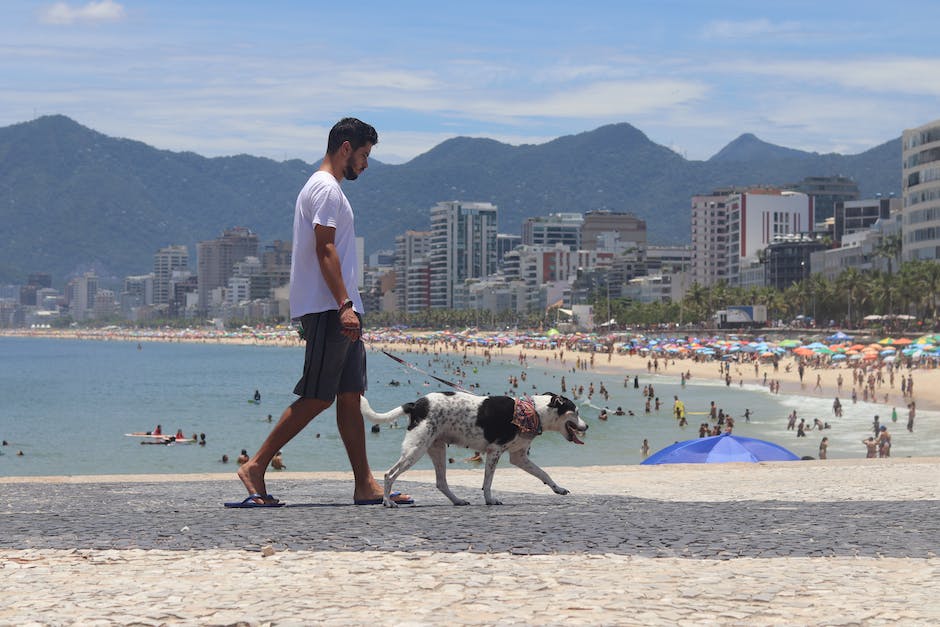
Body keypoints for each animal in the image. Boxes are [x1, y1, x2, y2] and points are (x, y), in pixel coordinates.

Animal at [360, 392, 588, 506]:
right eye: (576, 412)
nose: (586, 426)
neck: (534, 411)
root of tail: (416, 405)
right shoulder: (495, 451)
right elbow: (487, 483)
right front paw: (489, 500)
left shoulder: (518, 457)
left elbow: (544, 473)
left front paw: (558, 489)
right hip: (415, 449)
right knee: (389, 474)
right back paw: (387, 501)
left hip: (436, 448)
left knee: (441, 482)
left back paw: (458, 500)